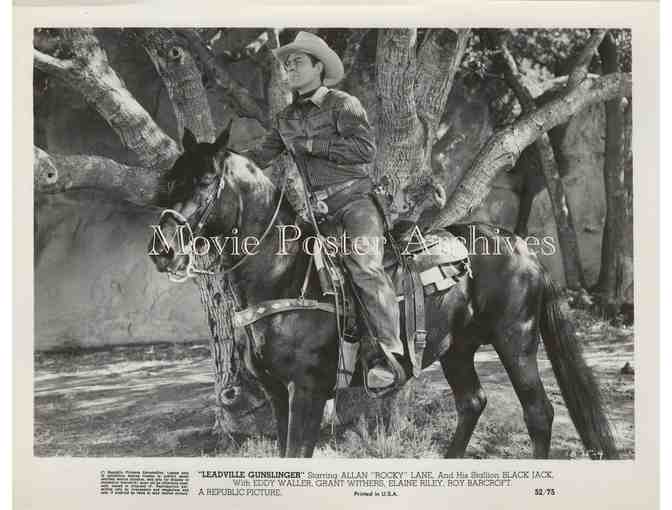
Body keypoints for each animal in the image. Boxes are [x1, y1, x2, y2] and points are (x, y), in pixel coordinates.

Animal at [150, 127, 616, 458]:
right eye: (170, 181)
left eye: (206, 180)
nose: (163, 249)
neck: (285, 272)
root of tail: (517, 243)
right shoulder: (277, 392)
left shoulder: (308, 390)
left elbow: (297, 453)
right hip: (457, 348)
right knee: (472, 403)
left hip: (515, 339)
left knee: (539, 413)